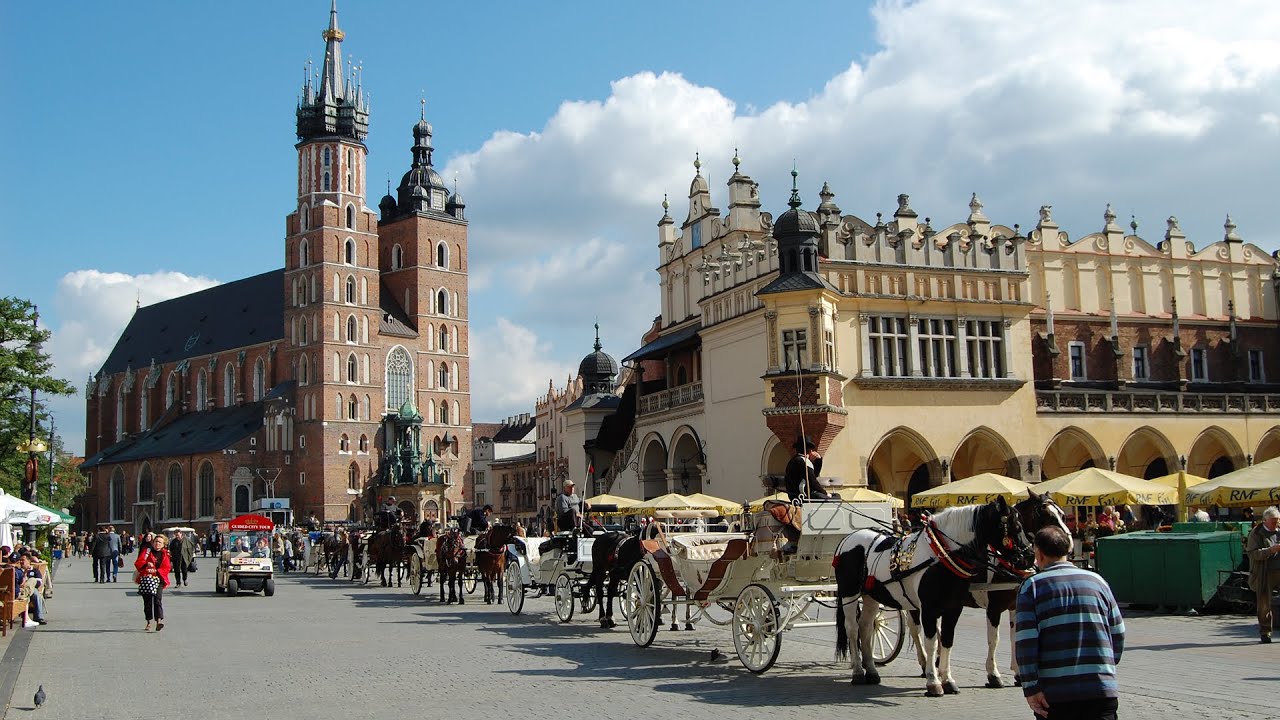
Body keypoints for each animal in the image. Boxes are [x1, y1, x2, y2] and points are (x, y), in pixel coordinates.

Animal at [834, 497, 1034, 691]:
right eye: (1017, 527)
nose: (1030, 556)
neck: (941, 555)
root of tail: (848, 538)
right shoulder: (931, 608)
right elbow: (932, 642)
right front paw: (933, 681)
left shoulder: (954, 608)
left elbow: (946, 640)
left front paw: (947, 680)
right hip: (850, 594)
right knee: (852, 628)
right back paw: (858, 671)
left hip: (871, 597)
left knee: (866, 627)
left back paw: (872, 671)